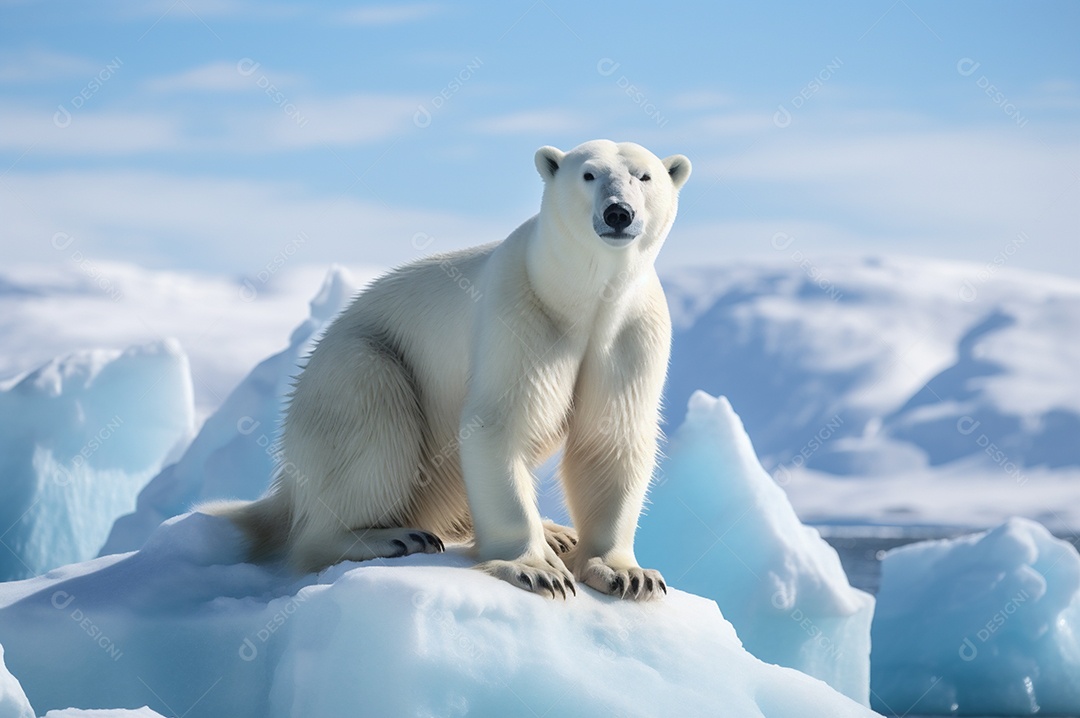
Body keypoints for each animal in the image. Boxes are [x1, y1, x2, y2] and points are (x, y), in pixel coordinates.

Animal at [205, 139, 691, 600]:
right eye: (589, 174)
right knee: (370, 421)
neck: (579, 298)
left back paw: (556, 532)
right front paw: (537, 570)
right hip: (356, 365)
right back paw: (388, 536)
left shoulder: (631, 331)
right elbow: (498, 424)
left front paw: (626, 573)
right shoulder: (520, 314)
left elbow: (612, 437)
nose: (618, 212)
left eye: (644, 176)